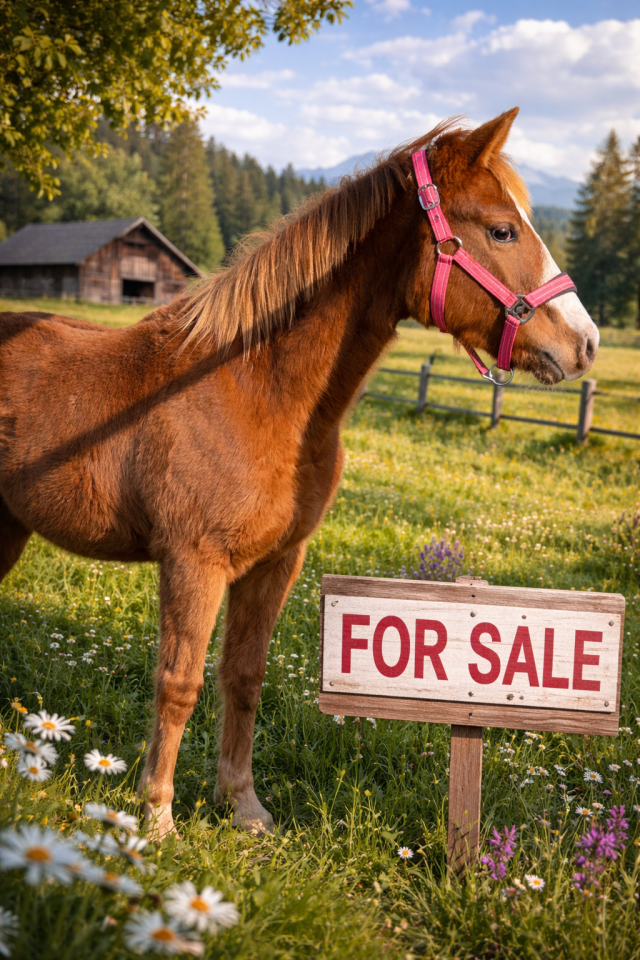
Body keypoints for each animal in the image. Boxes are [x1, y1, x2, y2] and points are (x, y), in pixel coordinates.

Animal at [0, 108, 598, 838]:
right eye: (502, 229)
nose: (585, 342)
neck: (257, 389)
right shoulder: (193, 562)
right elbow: (180, 683)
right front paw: (158, 817)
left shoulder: (275, 562)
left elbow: (244, 676)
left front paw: (242, 804)